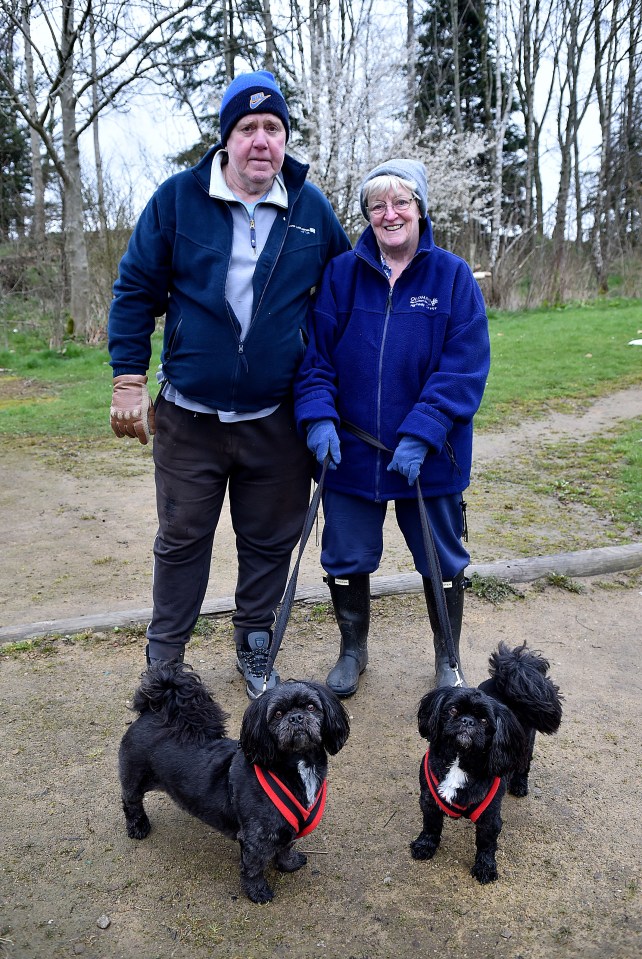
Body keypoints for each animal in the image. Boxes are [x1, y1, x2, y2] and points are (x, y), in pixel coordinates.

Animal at [120, 664, 350, 904]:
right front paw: (257, 892)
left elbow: (286, 847)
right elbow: (253, 867)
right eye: (277, 714)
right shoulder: (255, 838)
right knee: (131, 802)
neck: (296, 766)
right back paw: (138, 826)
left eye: (311, 706)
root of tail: (150, 713)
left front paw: (288, 864)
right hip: (134, 776)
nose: (296, 717)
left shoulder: (287, 827)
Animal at [410, 644, 560, 884]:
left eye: (483, 720)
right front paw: (425, 846)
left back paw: (519, 785)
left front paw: (485, 867)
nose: (467, 721)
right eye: (452, 710)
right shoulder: (429, 800)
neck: (460, 758)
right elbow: (431, 825)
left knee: (523, 766)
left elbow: (486, 844)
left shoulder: (489, 816)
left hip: (525, 744)